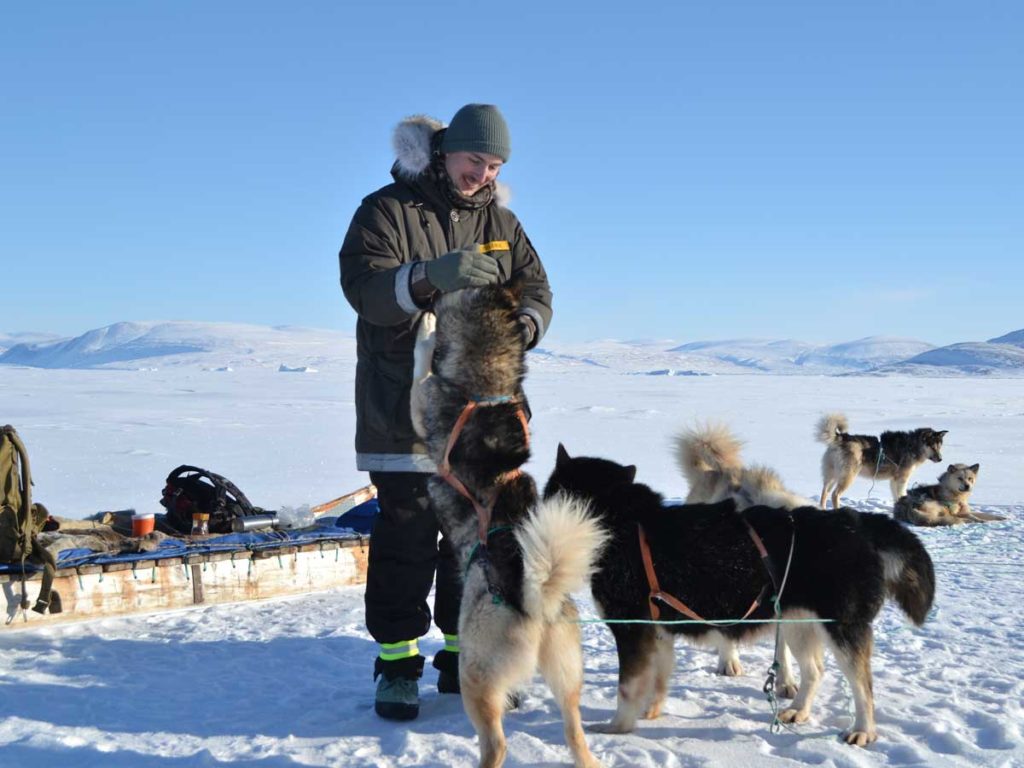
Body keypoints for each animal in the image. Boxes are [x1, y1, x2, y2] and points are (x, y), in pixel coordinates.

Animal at [411, 284, 606, 768]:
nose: (426, 297)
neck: (489, 387)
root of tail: (537, 601)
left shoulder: (423, 401)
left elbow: (420, 370)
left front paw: (426, 331)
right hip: (567, 676)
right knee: (575, 734)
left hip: (476, 674)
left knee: (496, 741)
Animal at [811, 415, 946, 512]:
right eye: (932, 446)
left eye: (939, 446)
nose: (940, 459)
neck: (912, 446)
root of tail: (841, 437)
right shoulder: (902, 479)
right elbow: (901, 494)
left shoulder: (894, 480)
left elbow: (896, 497)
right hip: (848, 476)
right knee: (835, 495)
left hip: (832, 476)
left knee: (824, 493)